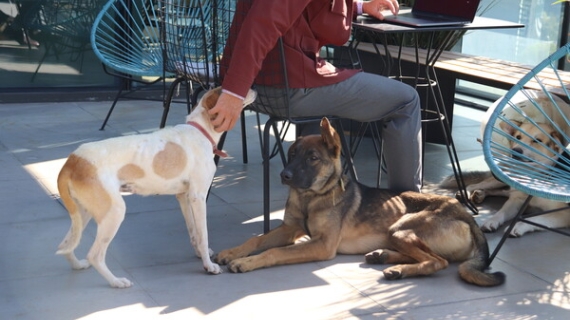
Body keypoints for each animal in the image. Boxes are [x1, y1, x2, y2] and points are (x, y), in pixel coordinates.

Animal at [55, 87, 255, 288]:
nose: (253, 89)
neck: (200, 131)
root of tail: (73, 160)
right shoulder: (198, 197)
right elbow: (203, 234)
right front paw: (208, 265)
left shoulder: (183, 196)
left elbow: (194, 232)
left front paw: (199, 253)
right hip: (114, 212)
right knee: (95, 255)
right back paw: (116, 281)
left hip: (84, 212)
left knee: (65, 245)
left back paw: (78, 265)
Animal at [215, 117, 504, 288]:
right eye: (293, 154)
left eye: (312, 158)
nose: (284, 176)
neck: (312, 197)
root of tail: (466, 215)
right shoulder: (289, 229)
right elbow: (256, 240)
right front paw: (231, 252)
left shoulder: (322, 246)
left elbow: (274, 252)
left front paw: (246, 263)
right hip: (397, 233)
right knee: (431, 256)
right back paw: (384, 257)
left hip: (402, 227)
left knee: (438, 261)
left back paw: (398, 268)